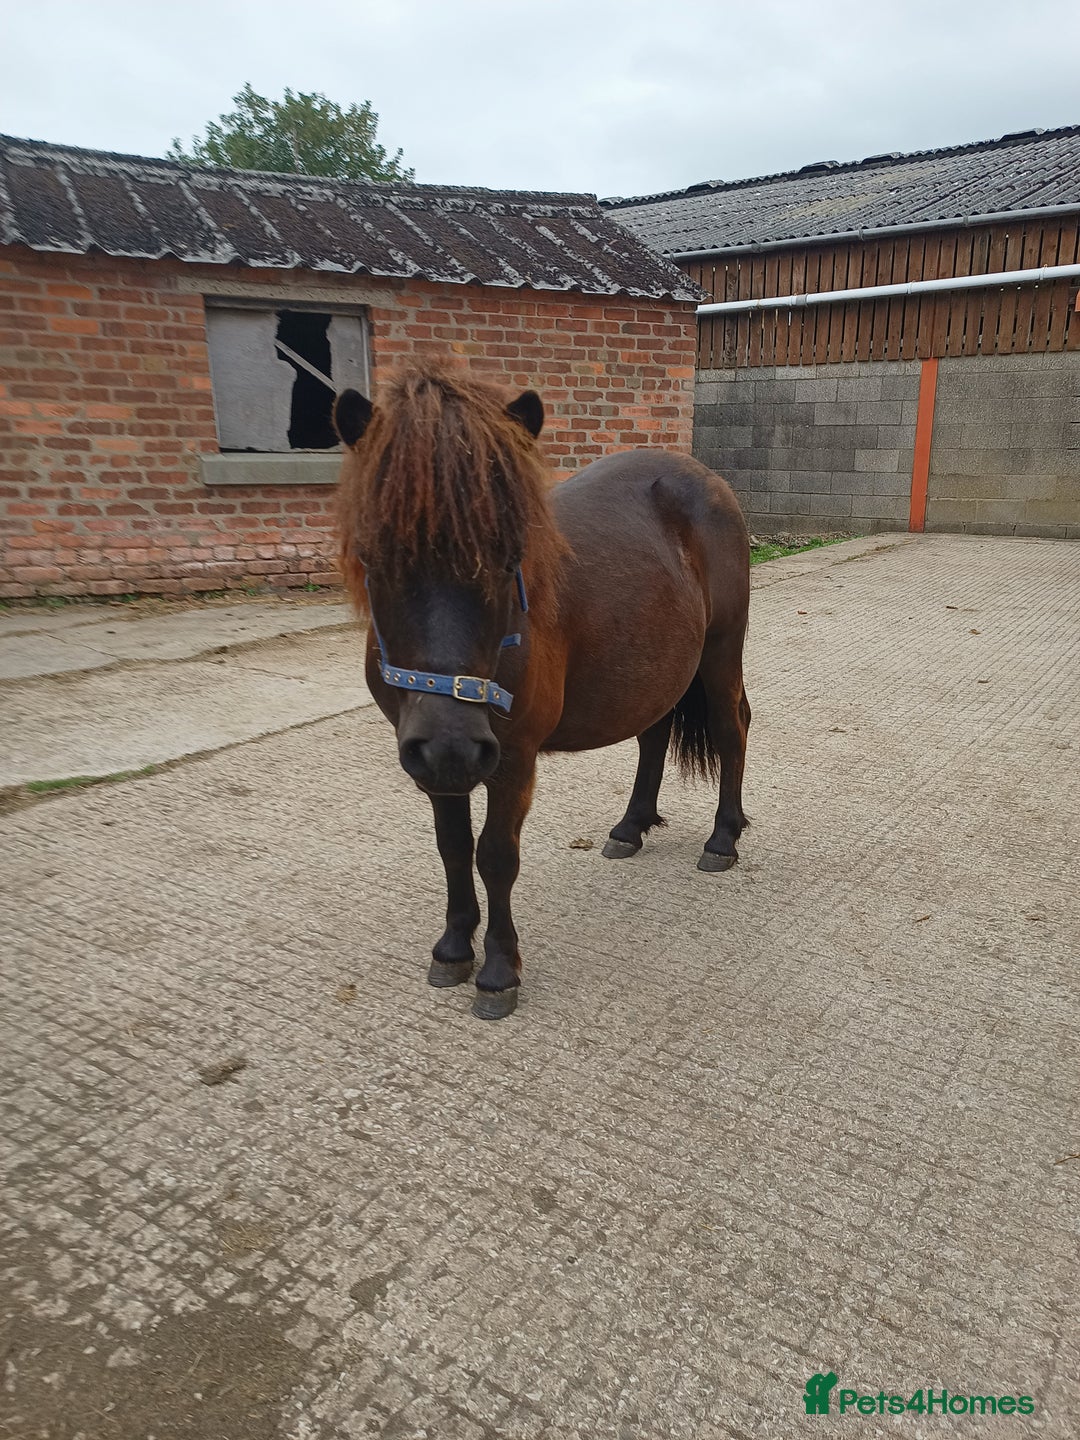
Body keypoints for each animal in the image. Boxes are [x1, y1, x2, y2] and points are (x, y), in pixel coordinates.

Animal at [335, 361, 750, 1021]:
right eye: (376, 557)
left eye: (510, 558)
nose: (453, 744)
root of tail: (707, 479)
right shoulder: (434, 767)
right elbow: (452, 846)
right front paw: (453, 947)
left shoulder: (513, 758)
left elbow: (495, 856)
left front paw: (498, 972)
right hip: (655, 667)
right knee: (654, 735)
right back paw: (630, 826)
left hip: (720, 651)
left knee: (732, 730)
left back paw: (723, 837)